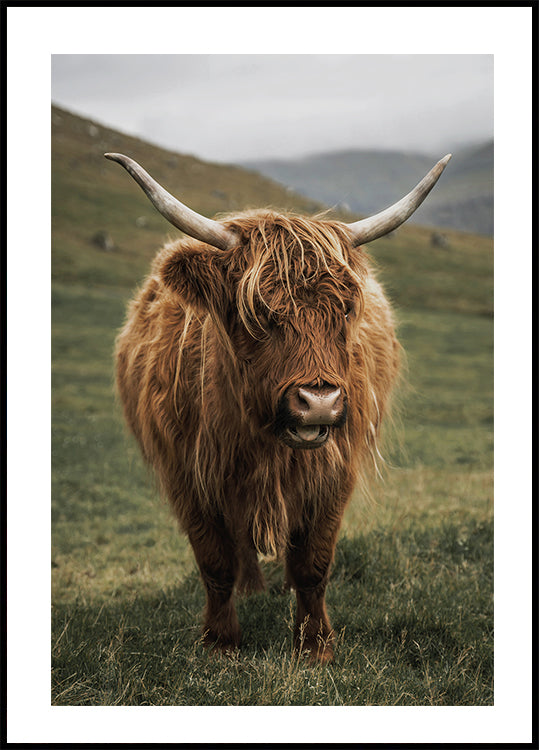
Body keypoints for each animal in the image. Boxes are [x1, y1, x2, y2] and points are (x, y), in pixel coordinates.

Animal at [107, 151, 450, 663]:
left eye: (345, 309)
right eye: (259, 313)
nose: (319, 402)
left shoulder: (333, 473)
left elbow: (314, 563)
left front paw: (315, 646)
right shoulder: (187, 474)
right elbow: (215, 562)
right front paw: (220, 642)